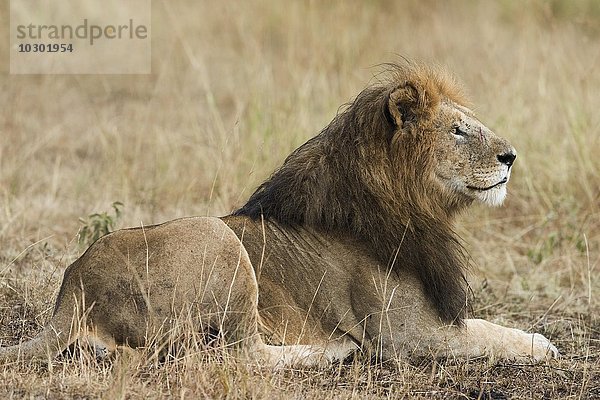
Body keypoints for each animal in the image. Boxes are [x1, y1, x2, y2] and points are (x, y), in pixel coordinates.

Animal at [2, 61, 560, 368]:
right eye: (458, 131)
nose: (511, 156)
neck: (415, 207)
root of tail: (72, 286)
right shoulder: (406, 333)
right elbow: (491, 335)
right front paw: (543, 345)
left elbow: (488, 325)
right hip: (218, 241)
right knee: (235, 353)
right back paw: (327, 353)